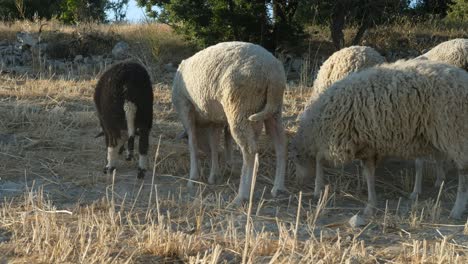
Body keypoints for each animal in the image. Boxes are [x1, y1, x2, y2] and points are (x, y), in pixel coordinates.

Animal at [173, 41, 288, 203]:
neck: (202, 124)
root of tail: (272, 73)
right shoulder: (214, 118)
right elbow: (214, 143)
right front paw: (214, 174)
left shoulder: (185, 106)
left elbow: (192, 143)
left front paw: (193, 177)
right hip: (273, 109)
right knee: (281, 144)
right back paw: (278, 187)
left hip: (240, 107)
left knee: (249, 149)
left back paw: (242, 195)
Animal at [292, 59, 468, 219]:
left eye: (296, 158)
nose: (298, 182)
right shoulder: (367, 145)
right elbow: (369, 174)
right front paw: (371, 203)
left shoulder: (344, 142)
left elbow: (321, 159)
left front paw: (318, 188)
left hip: (455, 133)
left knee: (463, 173)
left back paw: (457, 210)